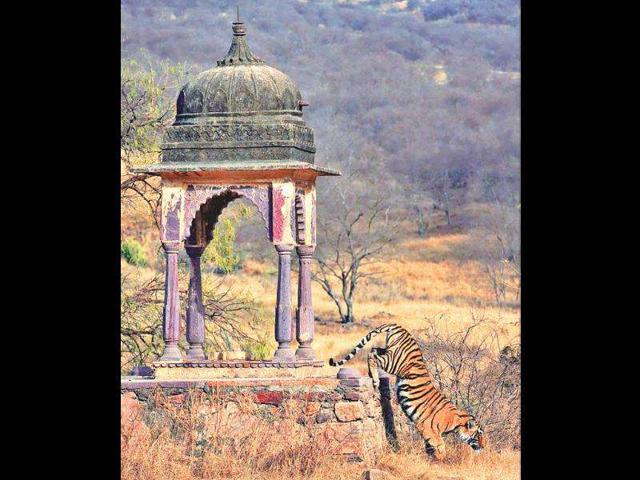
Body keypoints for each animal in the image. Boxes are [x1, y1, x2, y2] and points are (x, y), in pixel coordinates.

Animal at [330, 324, 484, 460]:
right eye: (478, 435)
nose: (483, 447)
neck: (455, 422)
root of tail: (399, 327)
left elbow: (430, 447)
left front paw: (431, 458)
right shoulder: (429, 429)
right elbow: (440, 446)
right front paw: (442, 460)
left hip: (387, 351)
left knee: (373, 350)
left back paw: (370, 374)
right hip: (394, 362)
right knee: (373, 357)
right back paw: (374, 379)